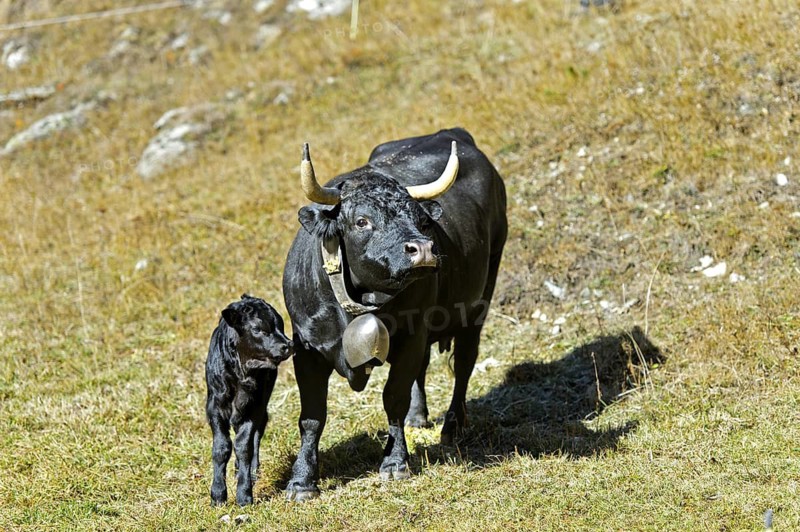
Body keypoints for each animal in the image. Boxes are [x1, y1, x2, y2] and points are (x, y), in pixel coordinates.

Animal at [205, 294, 294, 506]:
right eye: (258, 329)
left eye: (281, 325)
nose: (288, 345)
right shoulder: (215, 406)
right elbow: (221, 447)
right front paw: (218, 495)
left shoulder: (253, 406)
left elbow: (244, 446)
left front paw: (244, 495)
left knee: (255, 436)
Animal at [282, 128, 507, 501]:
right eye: (362, 221)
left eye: (421, 221)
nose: (424, 250)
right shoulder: (307, 349)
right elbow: (312, 416)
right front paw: (301, 481)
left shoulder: (410, 338)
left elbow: (394, 397)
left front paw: (395, 462)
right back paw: (420, 417)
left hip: (480, 299)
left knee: (464, 362)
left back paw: (452, 425)